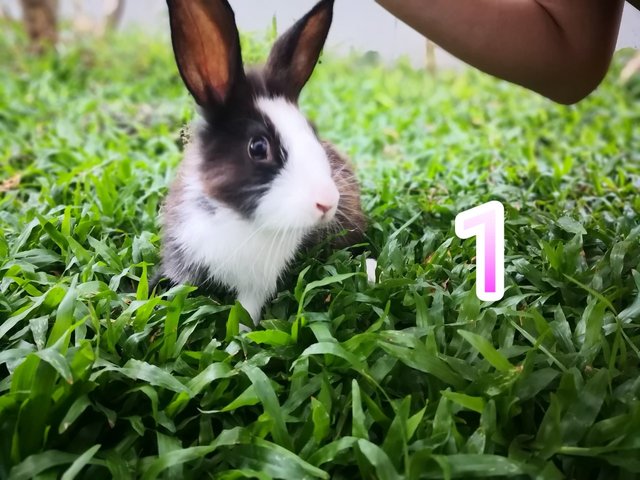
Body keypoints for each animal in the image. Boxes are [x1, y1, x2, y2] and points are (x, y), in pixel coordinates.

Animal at [156, 0, 364, 326]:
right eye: (258, 147)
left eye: (313, 131)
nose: (328, 203)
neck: (237, 219)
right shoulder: (183, 256)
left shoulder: (256, 287)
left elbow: (245, 316)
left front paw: (240, 335)